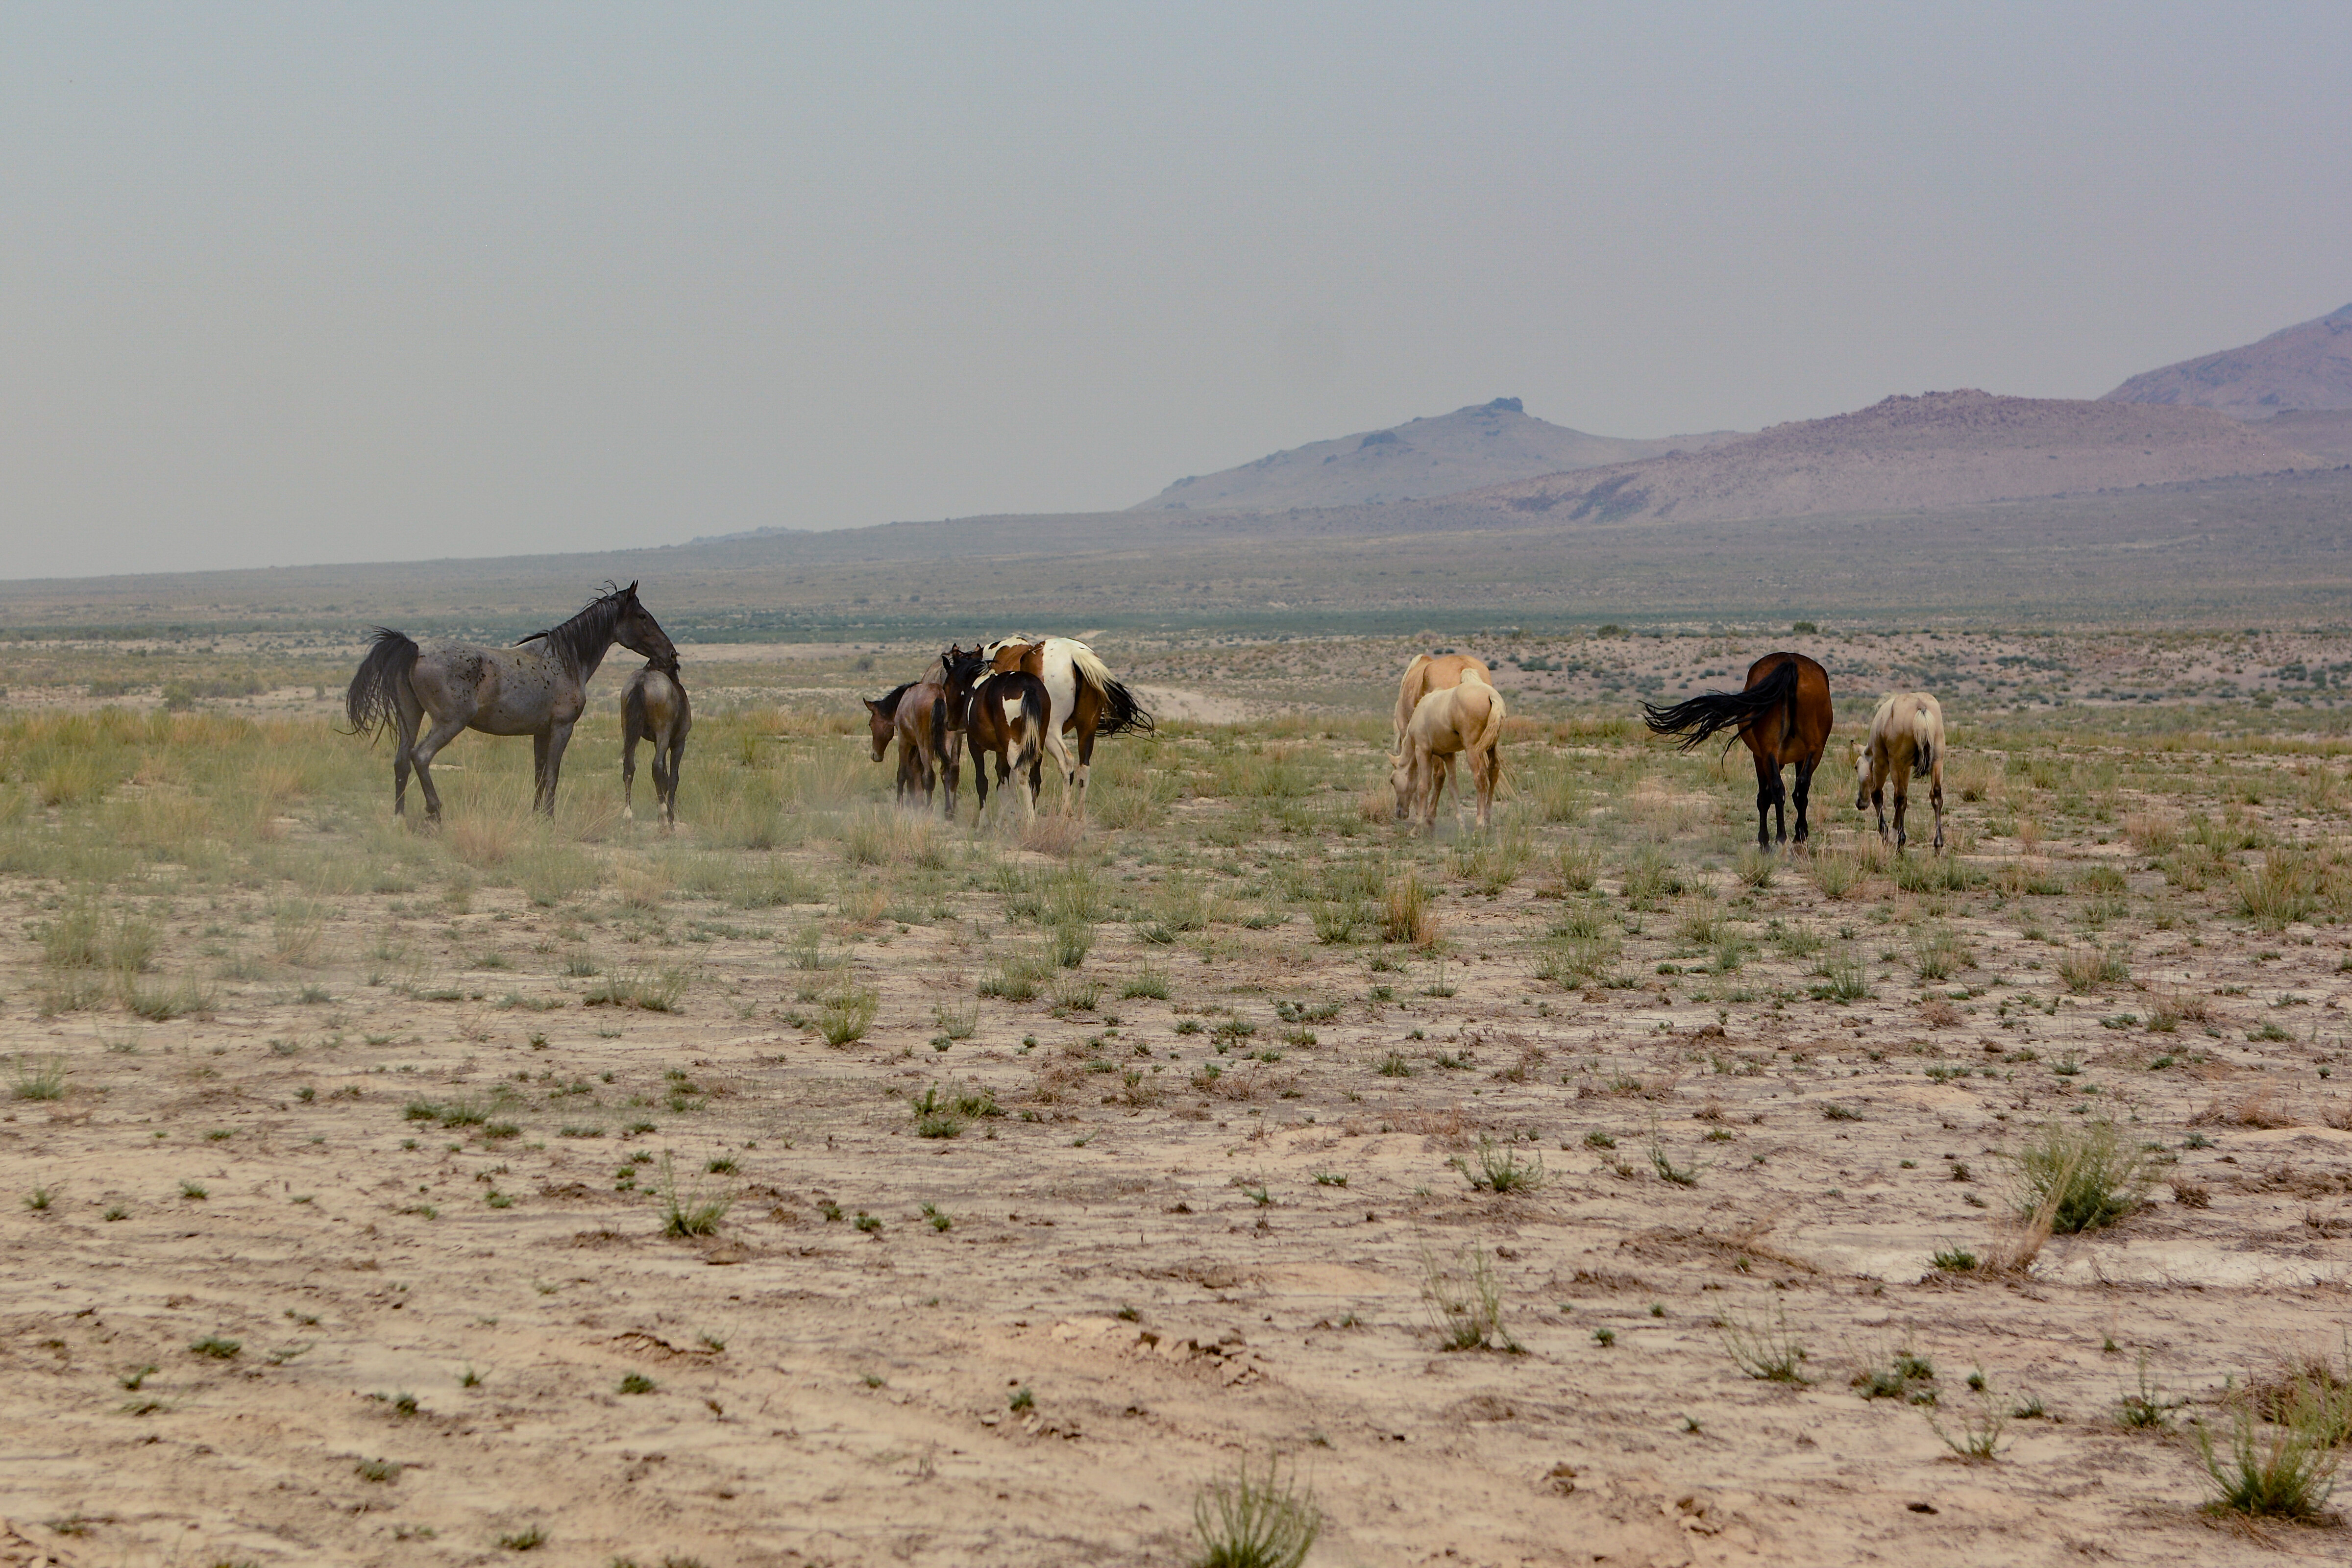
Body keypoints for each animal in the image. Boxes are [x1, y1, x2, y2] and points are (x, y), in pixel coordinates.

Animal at [616, 667, 686, 832]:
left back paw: (628, 817)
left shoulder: (657, 743)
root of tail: (642, 680)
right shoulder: (678, 743)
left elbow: (665, 780)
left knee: (629, 767)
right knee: (657, 767)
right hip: (663, 733)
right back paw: (664, 819)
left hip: (628, 731)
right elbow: (673, 778)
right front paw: (671, 821)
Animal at [936, 649, 1049, 823]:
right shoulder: (1001, 751)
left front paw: (984, 823)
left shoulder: (975, 746)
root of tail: (1028, 688)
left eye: (946, 686)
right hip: (1037, 744)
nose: (950, 724)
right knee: (1035, 779)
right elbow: (1003, 784)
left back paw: (1030, 820)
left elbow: (982, 782)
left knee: (1023, 775)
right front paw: (1008, 818)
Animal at [978, 635, 1152, 823]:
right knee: (1084, 769)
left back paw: (1065, 811)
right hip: (1086, 729)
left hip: (1052, 733)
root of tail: (1073, 653)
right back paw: (1080, 814)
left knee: (1066, 762)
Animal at [1637, 649, 1835, 851]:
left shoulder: (1761, 756)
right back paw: (1795, 837)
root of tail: (1791, 663)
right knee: (1798, 788)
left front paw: (1765, 840)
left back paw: (1781, 838)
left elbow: (1765, 797)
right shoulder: (1794, 757)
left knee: (1779, 789)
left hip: (1774, 752)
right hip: (1810, 751)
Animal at [1853, 691, 1947, 851]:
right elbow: (1905, 801)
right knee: (1936, 795)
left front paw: (1887, 834)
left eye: (1856, 767)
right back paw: (1938, 843)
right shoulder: (1907, 768)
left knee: (1899, 798)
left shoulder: (1881, 763)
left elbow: (1878, 795)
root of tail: (1921, 706)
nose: (1860, 803)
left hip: (1895, 765)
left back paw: (1896, 839)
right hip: (1937, 761)